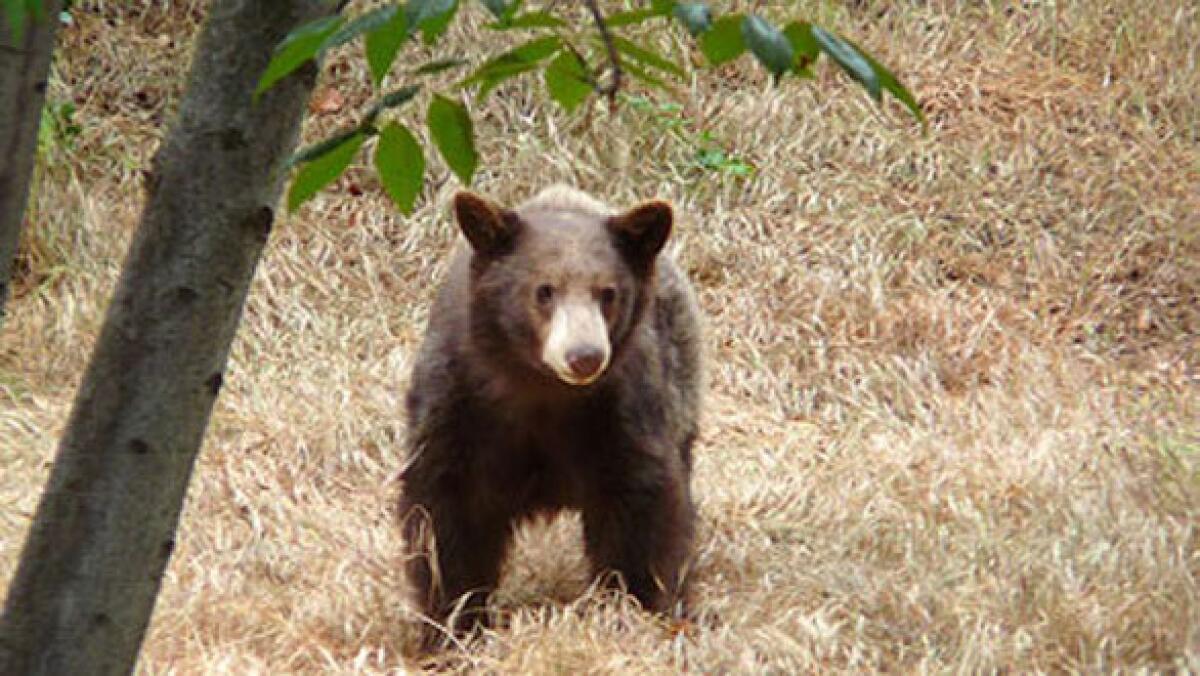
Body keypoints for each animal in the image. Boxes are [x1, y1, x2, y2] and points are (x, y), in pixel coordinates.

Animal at [398, 184, 700, 638]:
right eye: (544, 290)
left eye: (608, 293)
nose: (584, 356)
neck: (540, 391)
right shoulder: (454, 408)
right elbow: (445, 516)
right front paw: (453, 623)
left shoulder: (624, 413)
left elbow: (641, 507)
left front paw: (632, 606)